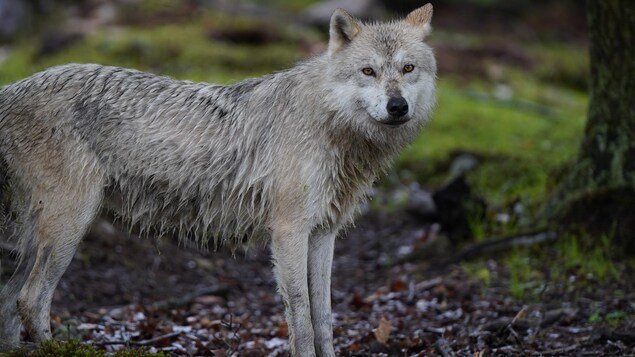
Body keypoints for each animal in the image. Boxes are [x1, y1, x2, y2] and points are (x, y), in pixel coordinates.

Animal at [0, 5, 438, 356]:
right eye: (368, 71)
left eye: (407, 69)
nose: (397, 106)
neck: (330, 126)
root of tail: (11, 88)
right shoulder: (288, 232)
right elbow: (300, 318)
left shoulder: (323, 234)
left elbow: (324, 319)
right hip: (70, 227)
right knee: (29, 299)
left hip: (39, 237)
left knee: (9, 299)